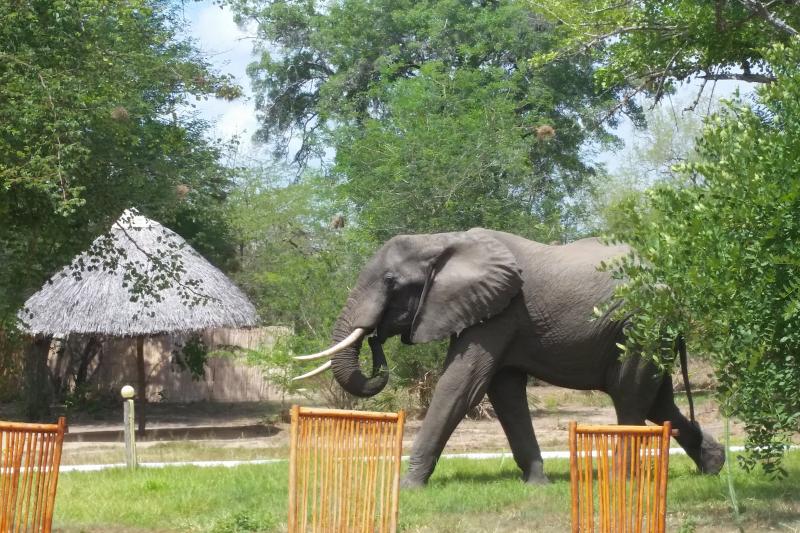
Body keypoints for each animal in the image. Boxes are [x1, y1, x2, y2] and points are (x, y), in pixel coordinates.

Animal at [296, 228, 725, 487]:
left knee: (629, 395)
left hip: (639, 323)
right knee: (658, 399)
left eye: (391, 283)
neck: (440, 241)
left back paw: (621, 479)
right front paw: (537, 484)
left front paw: (408, 486)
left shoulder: (499, 311)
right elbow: (505, 394)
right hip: (651, 329)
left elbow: (461, 386)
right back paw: (713, 466)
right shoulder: (493, 312)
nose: (376, 340)